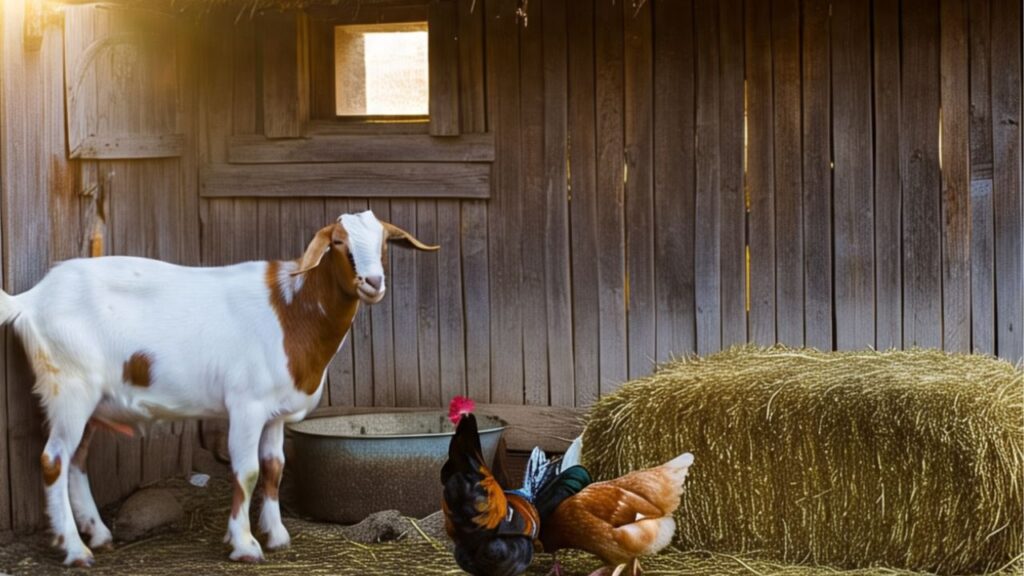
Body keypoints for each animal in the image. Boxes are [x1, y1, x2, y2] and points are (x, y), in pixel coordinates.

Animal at [0, 210, 438, 566]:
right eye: (338, 242)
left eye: (384, 242)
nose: (373, 282)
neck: (291, 313)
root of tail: (32, 299)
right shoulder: (246, 405)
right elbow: (247, 471)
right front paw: (245, 545)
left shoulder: (275, 413)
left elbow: (275, 467)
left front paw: (277, 536)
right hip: (70, 388)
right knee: (53, 460)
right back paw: (75, 550)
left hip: (89, 402)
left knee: (76, 461)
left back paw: (99, 535)